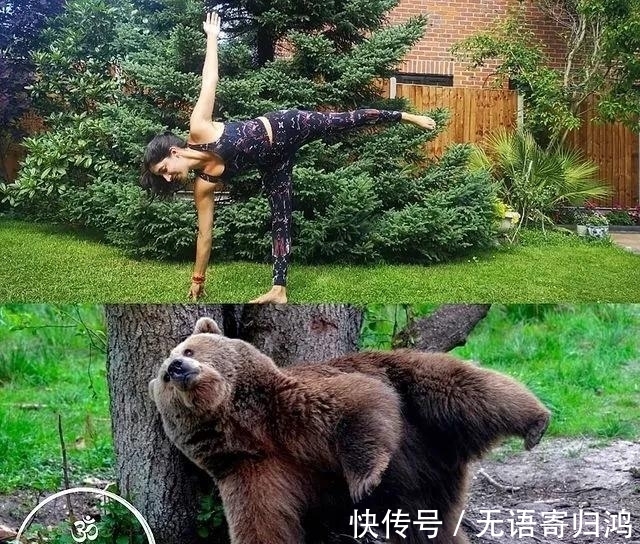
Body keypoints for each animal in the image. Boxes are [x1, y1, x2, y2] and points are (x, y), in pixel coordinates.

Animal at [149, 317, 551, 544]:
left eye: (189, 349)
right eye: (165, 376)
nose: (177, 367)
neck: (248, 425)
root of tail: (443, 470)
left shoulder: (291, 405)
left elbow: (360, 404)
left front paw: (365, 480)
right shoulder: (251, 470)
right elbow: (262, 525)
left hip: (414, 392)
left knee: (464, 389)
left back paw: (535, 422)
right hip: (414, 503)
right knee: (427, 531)